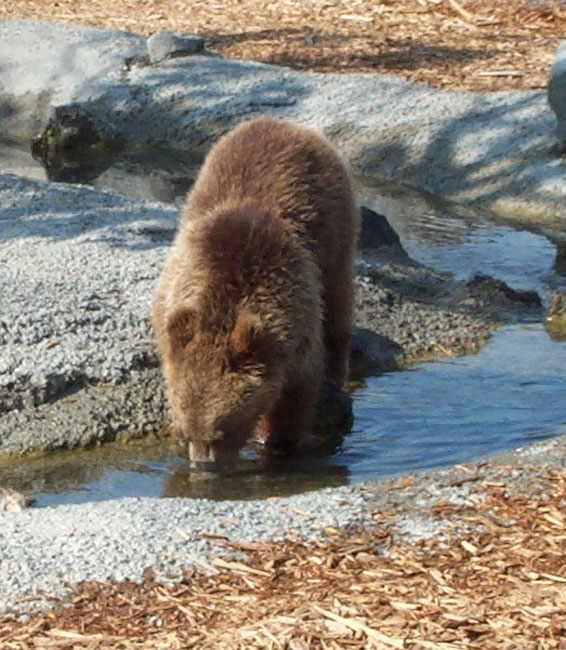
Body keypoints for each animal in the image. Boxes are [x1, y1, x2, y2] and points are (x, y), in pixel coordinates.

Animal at [152, 115, 358, 464]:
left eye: (220, 432)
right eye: (187, 430)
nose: (203, 465)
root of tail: (285, 123)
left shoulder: (296, 321)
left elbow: (295, 394)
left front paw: (274, 441)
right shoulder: (172, 299)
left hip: (337, 231)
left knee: (338, 303)